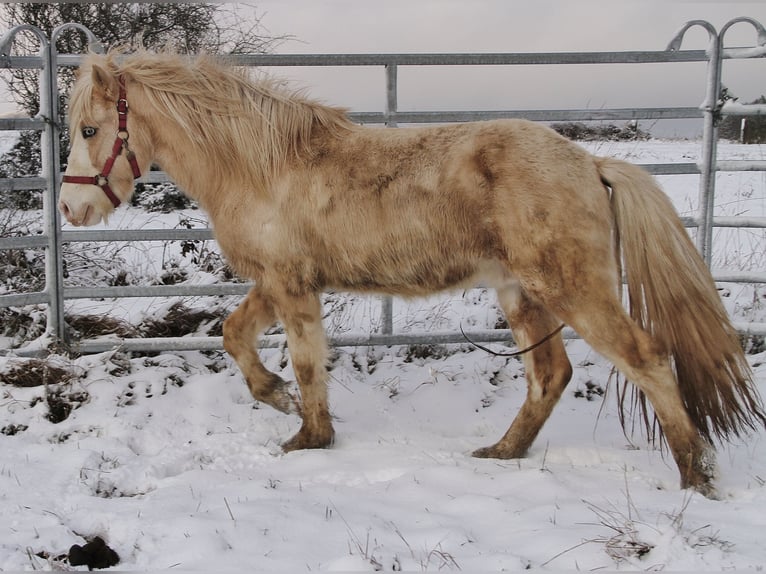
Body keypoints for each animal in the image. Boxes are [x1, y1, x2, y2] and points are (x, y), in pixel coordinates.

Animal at [59, 49, 765, 498]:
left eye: (90, 129)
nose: (70, 208)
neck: (263, 166)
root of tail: (590, 162)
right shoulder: (278, 281)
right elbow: (235, 336)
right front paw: (280, 400)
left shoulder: (290, 285)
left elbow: (308, 362)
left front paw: (307, 436)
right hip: (521, 292)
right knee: (550, 375)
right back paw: (502, 453)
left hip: (573, 289)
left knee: (646, 360)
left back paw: (695, 477)